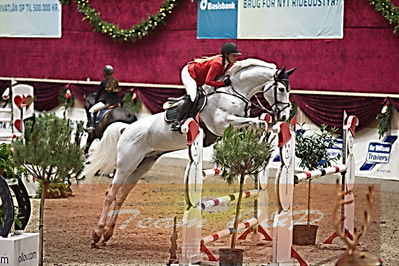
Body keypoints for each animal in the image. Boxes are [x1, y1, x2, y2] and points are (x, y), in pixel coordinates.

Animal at [85, 58, 296, 247]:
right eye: (281, 89)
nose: (285, 115)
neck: (234, 93)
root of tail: (126, 128)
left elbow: (259, 124)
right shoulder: (222, 124)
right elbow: (254, 122)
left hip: (142, 165)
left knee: (121, 196)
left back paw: (107, 235)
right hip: (126, 164)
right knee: (110, 194)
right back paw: (96, 234)